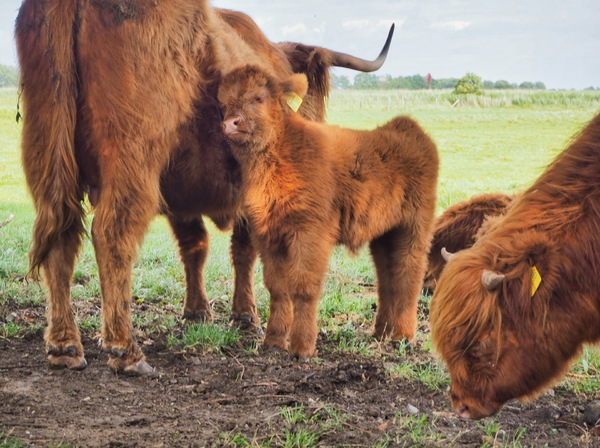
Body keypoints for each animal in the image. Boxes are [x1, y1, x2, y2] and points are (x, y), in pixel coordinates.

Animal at [15, 0, 394, 374]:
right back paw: (126, 350)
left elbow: (195, 246)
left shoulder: (180, 193)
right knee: (111, 235)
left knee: (61, 235)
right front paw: (245, 316)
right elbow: (244, 250)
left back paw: (64, 345)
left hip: (48, 156)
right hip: (131, 163)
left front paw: (198, 311)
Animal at [218, 65, 438, 360]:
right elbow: (277, 287)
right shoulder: (267, 234)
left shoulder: (311, 232)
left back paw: (402, 336)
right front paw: (273, 341)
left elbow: (303, 287)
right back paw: (381, 331)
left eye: (258, 98)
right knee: (386, 278)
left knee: (409, 274)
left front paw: (302, 348)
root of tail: (406, 127)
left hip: (415, 225)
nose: (231, 123)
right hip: (384, 234)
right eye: (224, 103)